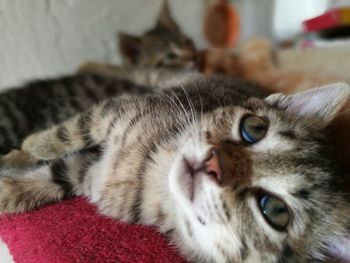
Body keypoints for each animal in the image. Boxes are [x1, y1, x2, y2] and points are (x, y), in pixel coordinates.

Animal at [0, 75, 350, 262]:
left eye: (275, 210)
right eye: (254, 128)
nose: (213, 164)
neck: (151, 176)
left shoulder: (88, 171)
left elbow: (57, 174)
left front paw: (9, 181)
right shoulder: (112, 113)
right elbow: (66, 134)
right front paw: (26, 150)